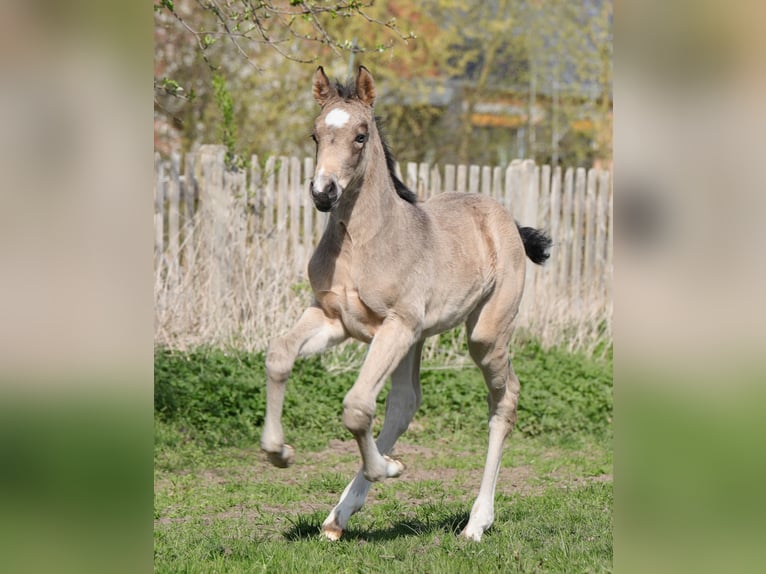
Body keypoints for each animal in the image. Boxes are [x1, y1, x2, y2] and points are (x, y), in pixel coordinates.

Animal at [260, 66, 551, 542]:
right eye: (315, 134)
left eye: (361, 136)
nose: (323, 193)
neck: (363, 243)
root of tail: (505, 218)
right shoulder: (333, 319)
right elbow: (279, 354)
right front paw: (278, 452)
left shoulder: (395, 325)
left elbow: (356, 407)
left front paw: (391, 469)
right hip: (415, 338)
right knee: (404, 402)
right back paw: (339, 516)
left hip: (483, 334)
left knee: (504, 399)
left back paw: (476, 522)